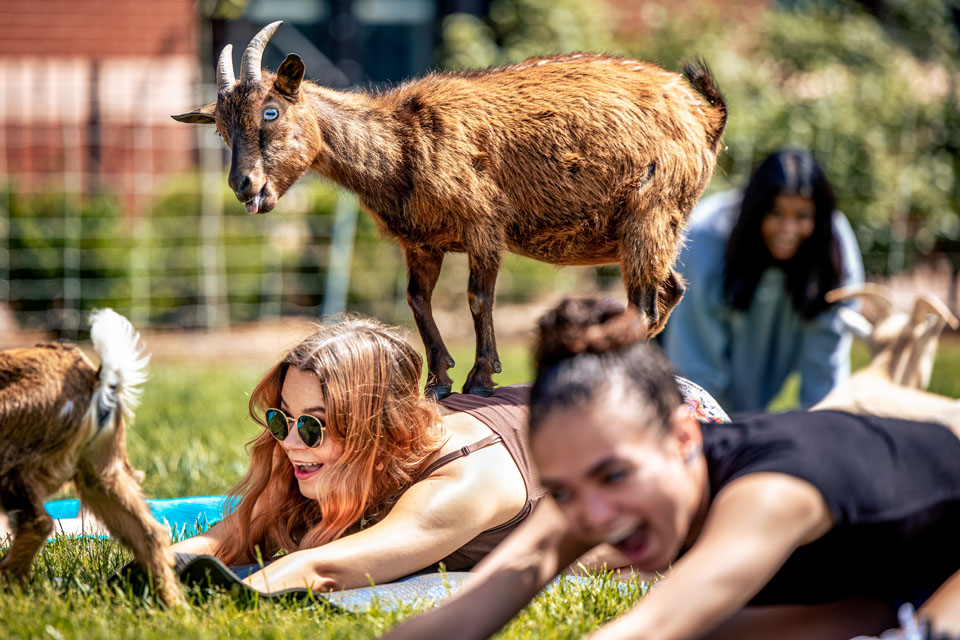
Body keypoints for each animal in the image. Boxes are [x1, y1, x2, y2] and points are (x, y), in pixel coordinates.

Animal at [0, 310, 183, 604]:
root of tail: (97, 379)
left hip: (15, 461)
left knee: (37, 522)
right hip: (102, 472)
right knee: (149, 534)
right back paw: (174, 607)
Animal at [172, 21, 728, 400]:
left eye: (270, 111)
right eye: (220, 129)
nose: (243, 185)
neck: (400, 141)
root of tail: (705, 116)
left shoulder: (484, 224)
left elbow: (478, 298)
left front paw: (480, 376)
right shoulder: (422, 242)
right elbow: (417, 300)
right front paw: (438, 379)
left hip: (650, 212)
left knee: (646, 301)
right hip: (650, 228)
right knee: (669, 291)